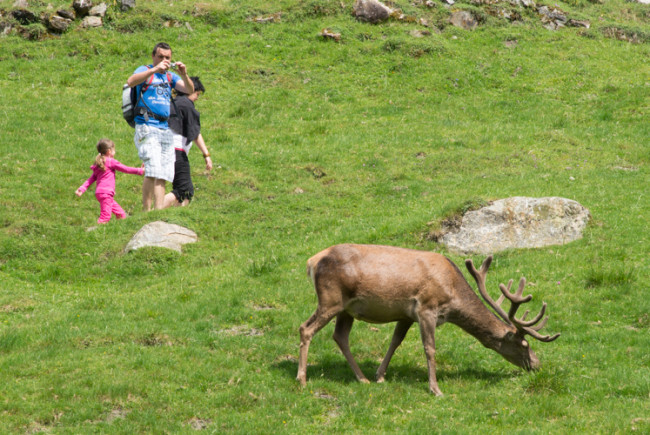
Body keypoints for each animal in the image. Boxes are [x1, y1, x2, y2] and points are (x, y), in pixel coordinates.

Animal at [296, 244, 560, 396]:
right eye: (524, 344)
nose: (537, 365)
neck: (452, 292)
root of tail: (312, 261)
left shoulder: (406, 314)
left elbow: (395, 341)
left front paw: (380, 376)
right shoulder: (426, 308)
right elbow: (430, 348)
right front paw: (435, 389)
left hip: (346, 309)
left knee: (339, 336)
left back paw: (362, 379)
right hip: (330, 299)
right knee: (305, 328)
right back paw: (302, 379)